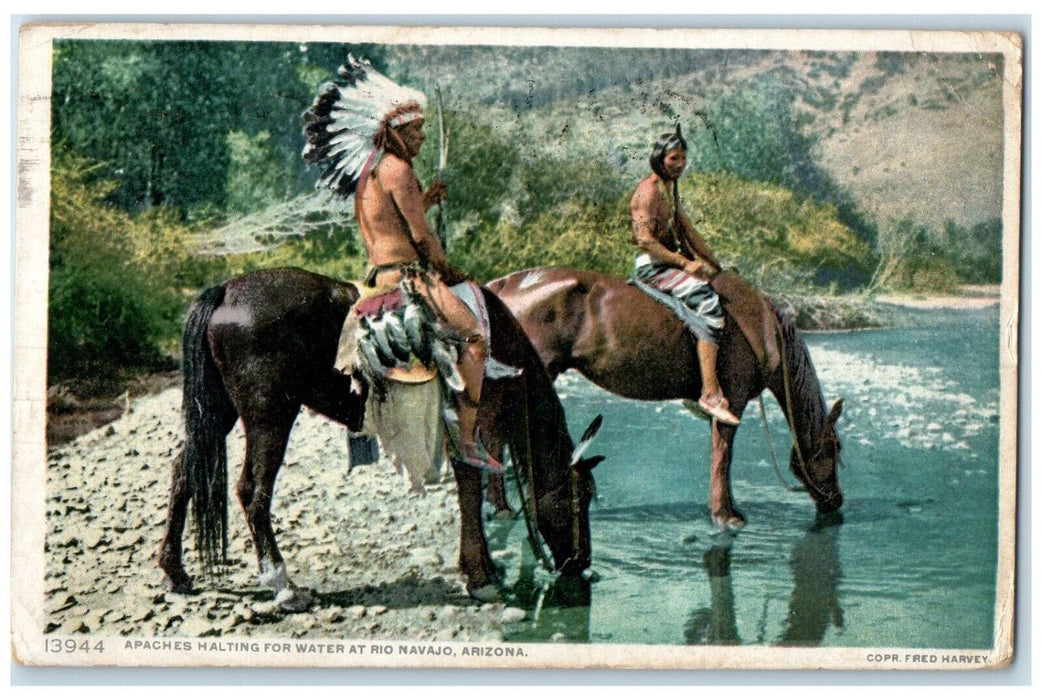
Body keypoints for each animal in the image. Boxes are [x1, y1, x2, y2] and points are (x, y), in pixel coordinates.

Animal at [156, 266, 604, 608]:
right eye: (579, 497)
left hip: (218, 412)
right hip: (269, 418)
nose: (582, 565)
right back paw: (282, 585)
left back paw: (175, 572)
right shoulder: (471, 429)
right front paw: (481, 576)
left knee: (184, 472)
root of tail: (226, 291)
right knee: (252, 491)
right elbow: (470, 489)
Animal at [489, 265, 846, 527]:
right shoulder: (733, 400)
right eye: (834, 447)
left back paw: (501, 507)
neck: (761, 326)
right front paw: (725, 516)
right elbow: (723, 454)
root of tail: (505, 286)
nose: (836, 501)